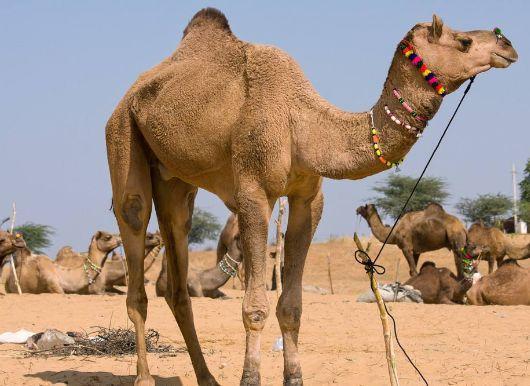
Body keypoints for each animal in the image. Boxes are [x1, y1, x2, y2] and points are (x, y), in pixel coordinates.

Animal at [104, 7, 516, 384]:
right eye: (463, 41)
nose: (507, 45)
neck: (302, 123)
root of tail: (129, 96)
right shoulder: (253, 193)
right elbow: (255, 307)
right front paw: (250, 378)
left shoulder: (308, 199)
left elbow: (292, 306)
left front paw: (294, 377)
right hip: (122, 137)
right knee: (135, 236)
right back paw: (144, 377)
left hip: (175, 181)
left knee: (178, 273)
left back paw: (207, 378)